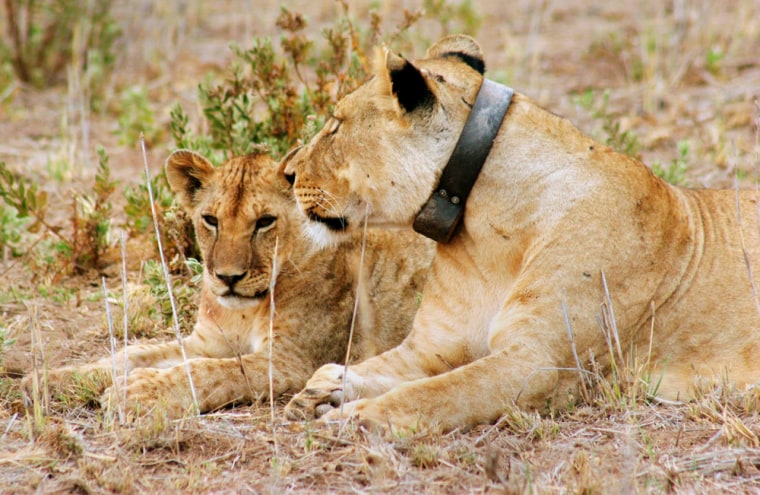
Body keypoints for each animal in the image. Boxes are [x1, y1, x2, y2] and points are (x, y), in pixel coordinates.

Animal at [22, 150, 433, 418]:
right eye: (211, 220)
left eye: (265, 222)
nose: (228, 277)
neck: (244, 311)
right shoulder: (207, 342)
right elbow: (132, 354)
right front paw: (51, 380)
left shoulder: (292, 360)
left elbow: (213, 372)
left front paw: (136, 392)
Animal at [282, 34, 760, 432]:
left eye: (335, 126)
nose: (286, 174)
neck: (484, 235)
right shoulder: (431, 347)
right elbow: (369, 370)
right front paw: (322, 390)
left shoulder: (539, 363)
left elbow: (433, 394)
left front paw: (353, 416)